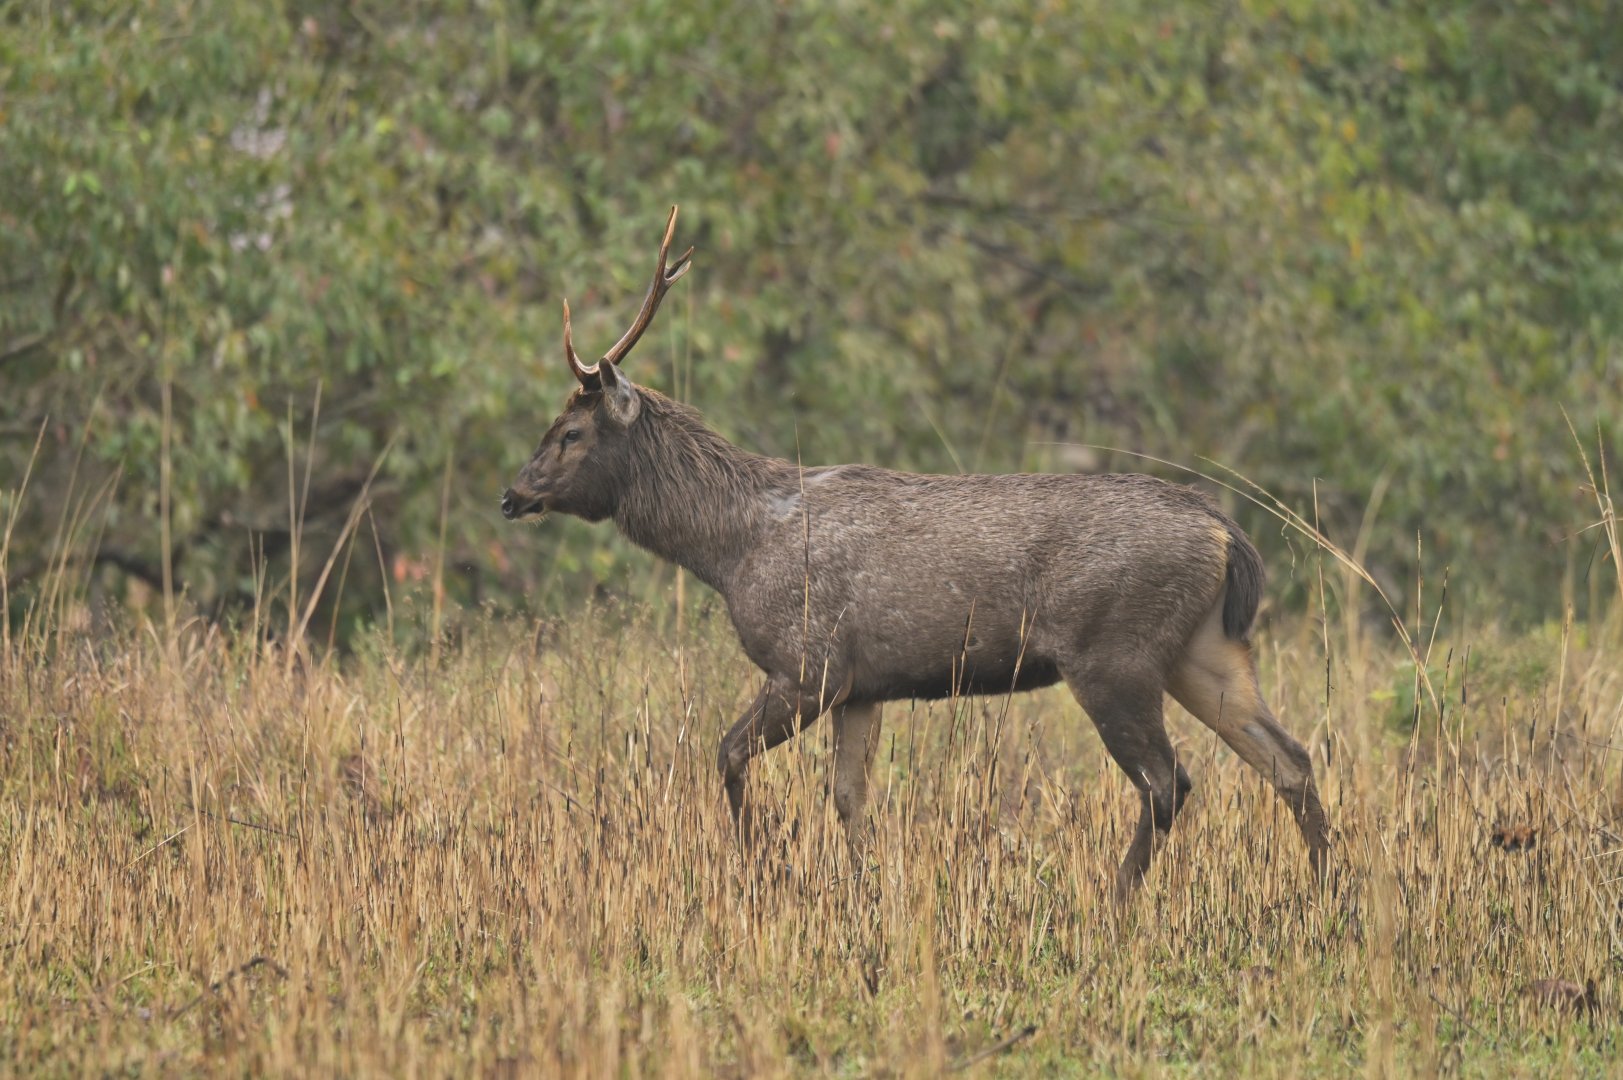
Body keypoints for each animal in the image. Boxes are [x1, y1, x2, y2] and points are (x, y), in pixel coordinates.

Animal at [502, 207, 1330, 901]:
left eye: (570, 432)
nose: (511, 495)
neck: (731, 549)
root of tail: (1226, 536)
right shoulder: (861, 686)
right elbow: (847, 798)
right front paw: (864, 889)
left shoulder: (807, 663)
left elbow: (728, 755)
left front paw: (766, 869)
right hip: (1203, 648)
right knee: (1290, 758)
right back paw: (1325, 895)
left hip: (1114, 653)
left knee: (1168, 780)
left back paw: (1114, 902)